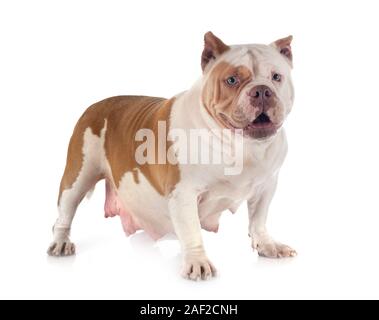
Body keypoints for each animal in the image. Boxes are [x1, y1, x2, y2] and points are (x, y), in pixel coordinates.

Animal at [47, 31, 296, 280]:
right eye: (232, 80)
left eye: (276, 77)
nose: (262, 91)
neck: (242, 146)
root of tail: (95, 105)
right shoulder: (183, 193)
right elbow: (192, 230)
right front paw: (198, 262)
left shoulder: (266, 186)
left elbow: (258, 220)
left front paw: (268, 245)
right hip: (77, 176)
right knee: (64, 213)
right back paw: (60, 243)